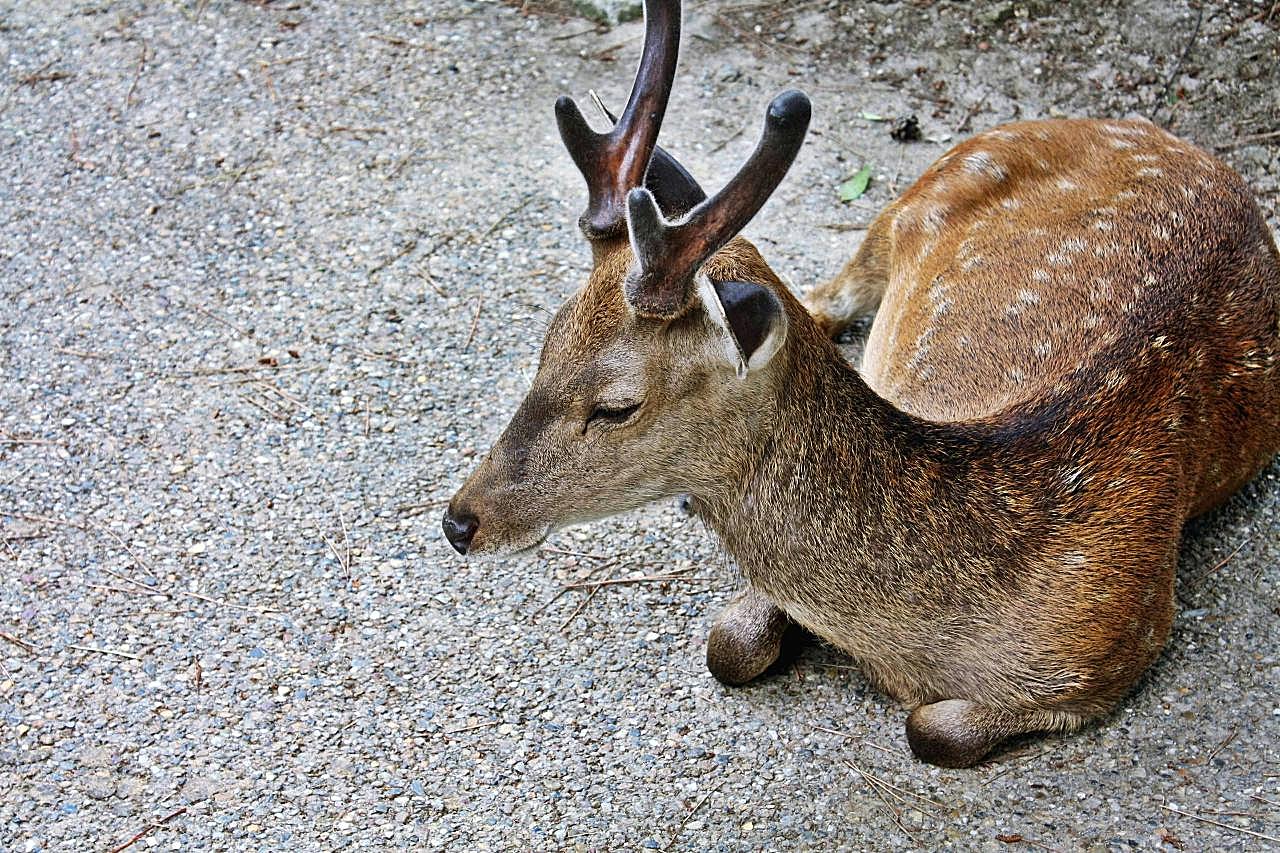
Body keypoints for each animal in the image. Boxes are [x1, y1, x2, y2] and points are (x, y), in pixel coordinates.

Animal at [442, 0, 1280, 763]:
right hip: (919, 193)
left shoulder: (1120, 640)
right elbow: (728, 646)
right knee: (823, 293)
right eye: (546, 341)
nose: (459, 520)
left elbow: (932, 729)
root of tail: (1175, 139)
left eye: (618, 406)